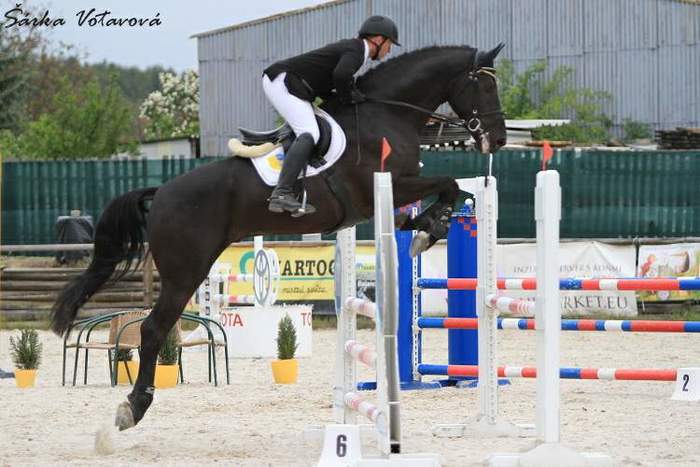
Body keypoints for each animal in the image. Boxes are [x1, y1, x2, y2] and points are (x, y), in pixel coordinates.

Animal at [51, 44, 507, 431]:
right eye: (485, 85)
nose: (499, 139)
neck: (388, 113)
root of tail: (160, 192)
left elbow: (441, 194)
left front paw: (426, 228)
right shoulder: (390, 183)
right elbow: (448, 183)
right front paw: (432, 227)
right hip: (184, 273)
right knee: (151, 331)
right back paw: (134, 406)